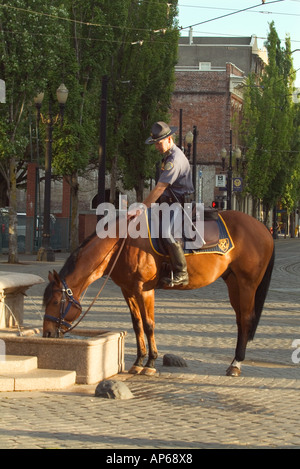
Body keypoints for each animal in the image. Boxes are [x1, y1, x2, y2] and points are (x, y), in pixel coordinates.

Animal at [41, 208, 274, 376]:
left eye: (55, 301)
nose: (47, 333)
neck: (122, 244)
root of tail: (263, 228)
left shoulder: (144, 291)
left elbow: (149, 325)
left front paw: (151, 362)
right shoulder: (128, 290)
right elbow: (137, 325)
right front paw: (138, 361)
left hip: (247, 284)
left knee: (246, 319)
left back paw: (236, 364)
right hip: (233, 283)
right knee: (240, 321)